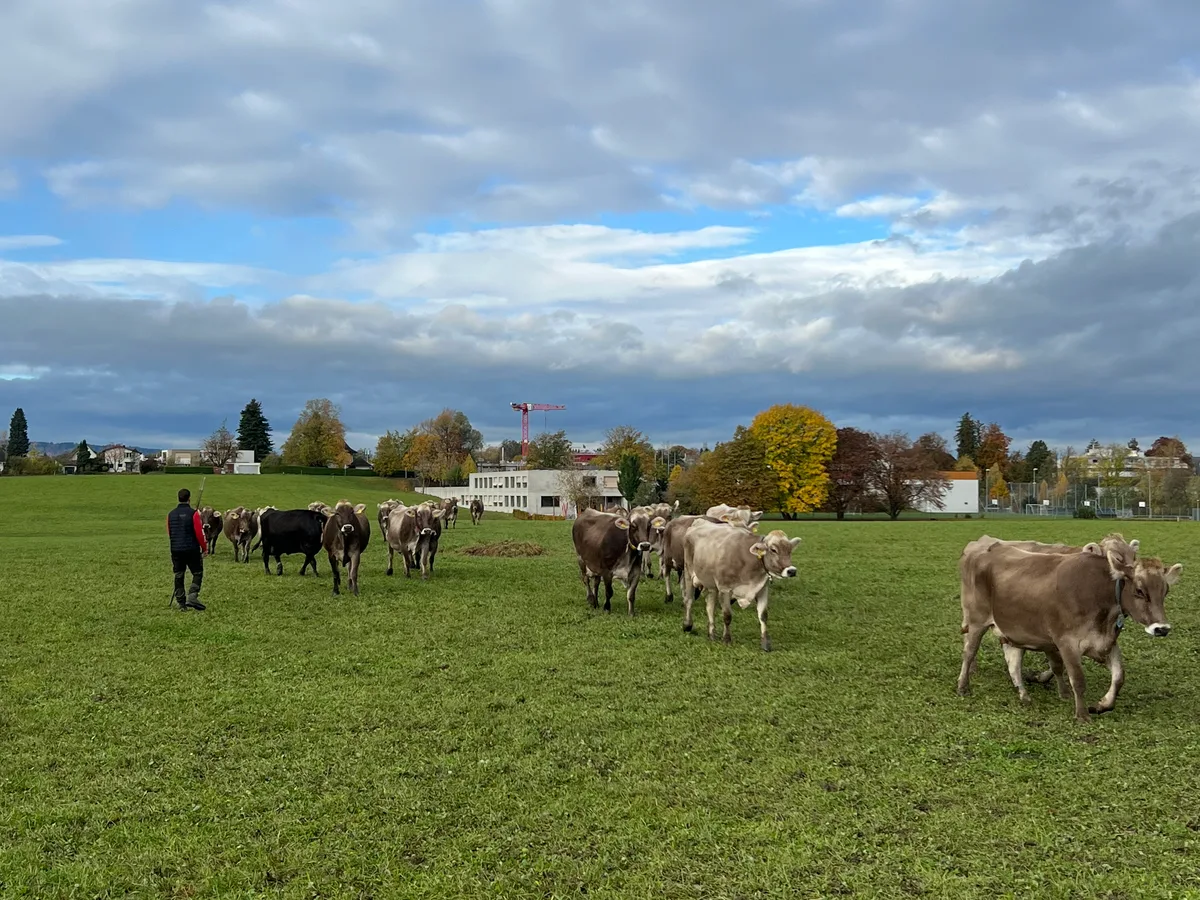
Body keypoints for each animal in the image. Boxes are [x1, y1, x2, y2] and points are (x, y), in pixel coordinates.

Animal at [682, 520, 801, 651]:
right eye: (773, 550)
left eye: (790, 550)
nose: (792, 571)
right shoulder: (725, 589)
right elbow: (727, 616)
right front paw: (727, 639)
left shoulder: (762, 589)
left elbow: (763, 616)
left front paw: (766, 643)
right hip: (688, 572)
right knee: (689, 600)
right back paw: (687, 625)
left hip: (711, 584)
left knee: (710, 607)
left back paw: (712, 634)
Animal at [957, 536, 1182, 722]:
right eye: (1139, 590)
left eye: (1165, 591)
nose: (1161, 628)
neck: (1097, 595)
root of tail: (989, 547)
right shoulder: (1067, 643)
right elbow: (1077, 679)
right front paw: (1081, 715)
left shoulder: (1105, 643)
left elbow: (1119, 677)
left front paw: (1102, 705)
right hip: (976, 621)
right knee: (969, 652)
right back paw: (963, 686)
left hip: (1012, 631)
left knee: (1013, 660)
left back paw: (1024, 694)